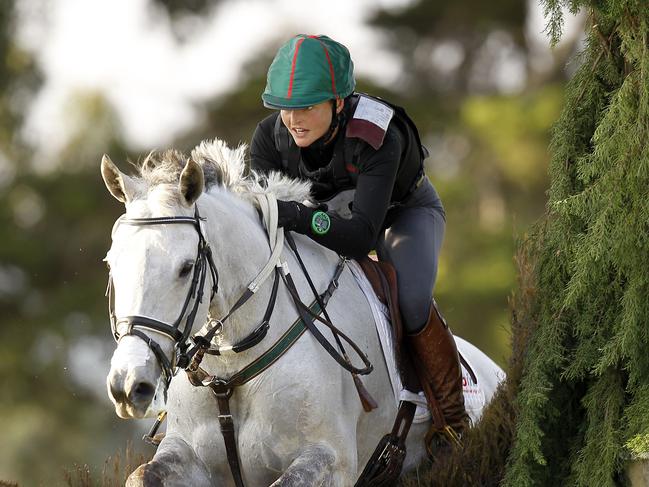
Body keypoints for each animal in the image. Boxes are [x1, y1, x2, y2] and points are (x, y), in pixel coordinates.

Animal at [102, 139, 506, 486]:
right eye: (111, 263)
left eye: (186, 268)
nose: (129, 386)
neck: (231, 368)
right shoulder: (188, 454)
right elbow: (142, 476)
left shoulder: (330, 459)